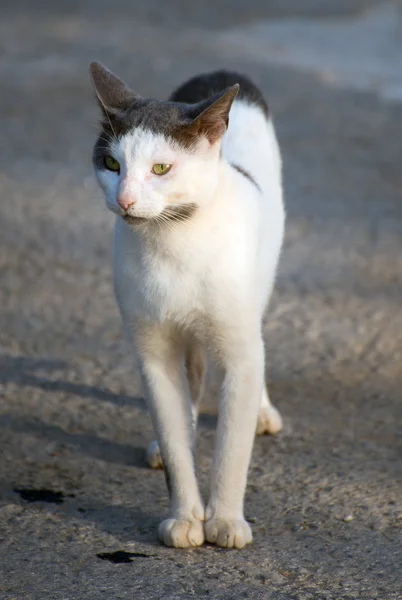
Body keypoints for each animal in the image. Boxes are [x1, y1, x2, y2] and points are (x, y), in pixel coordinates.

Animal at [89, 63, 284, 552]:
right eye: (112, 164)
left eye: (161, 168)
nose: (125, 199)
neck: (173, 239)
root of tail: (219, 71)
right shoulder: (153, 354)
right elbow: (176, 440)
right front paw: (184, 517)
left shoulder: (238, 355)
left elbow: (232, 450)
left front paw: (226, 521)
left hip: (262, 277)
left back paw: (262, 410)